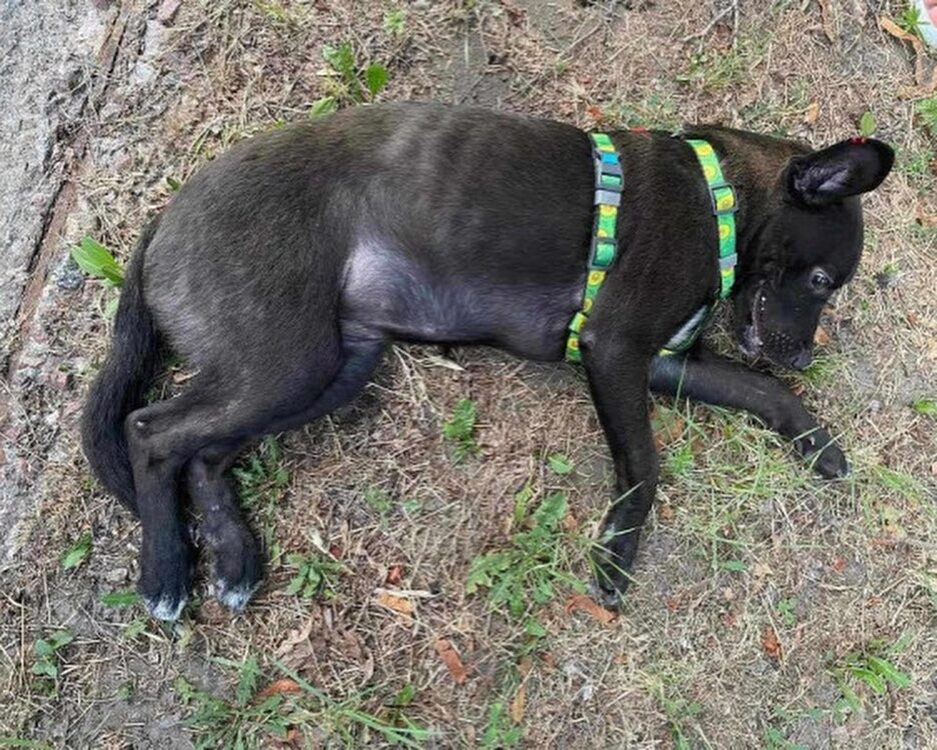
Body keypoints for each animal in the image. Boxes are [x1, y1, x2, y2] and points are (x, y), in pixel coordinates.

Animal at [81, 103, 893, 620]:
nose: (805, 357)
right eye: (822, 281)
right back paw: (166, 572)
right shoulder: (615, 351)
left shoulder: (662, 363)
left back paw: (233, 558)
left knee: (204, 455)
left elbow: (761, 392)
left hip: (329, 370)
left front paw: (818, 443)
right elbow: (645, 467)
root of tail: (164, 220)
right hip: (286, 362)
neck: (720, 195)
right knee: (151, 433)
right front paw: (616, 554)